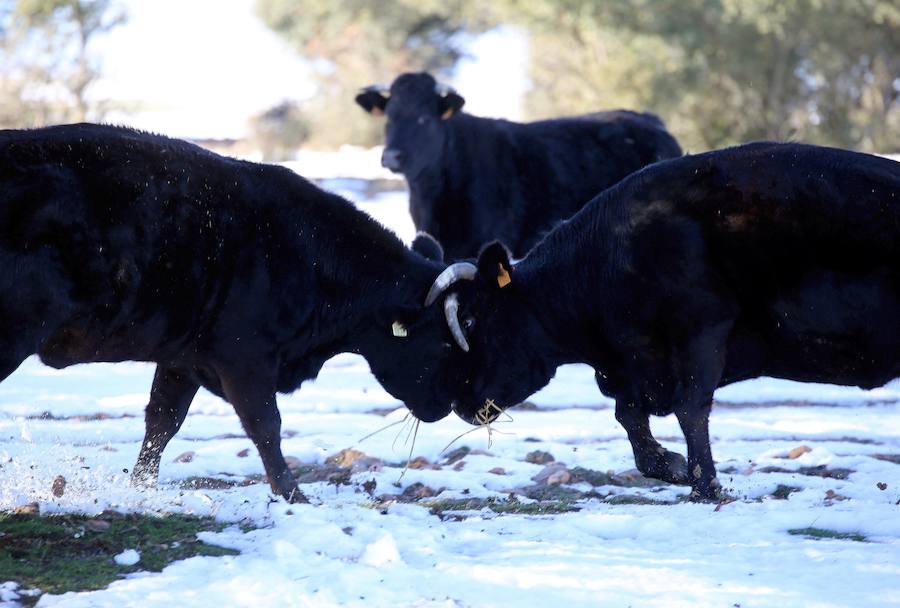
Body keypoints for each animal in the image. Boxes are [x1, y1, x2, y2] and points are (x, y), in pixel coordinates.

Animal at [0, 123, 460, 504]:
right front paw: (292, 494)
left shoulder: (183, 359)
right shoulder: (246, 359)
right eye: (444, 339)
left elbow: (162, 421)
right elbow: (265, 424)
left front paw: (142, 487)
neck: (312, 255)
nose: (454, 406)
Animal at [422, 141, 900, 498]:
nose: (459, 404)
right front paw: (671, 465)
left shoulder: (701, 330)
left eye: (472, 321)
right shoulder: (632, 368)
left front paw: (704, 485)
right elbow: (629, 419)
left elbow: (690, 409)